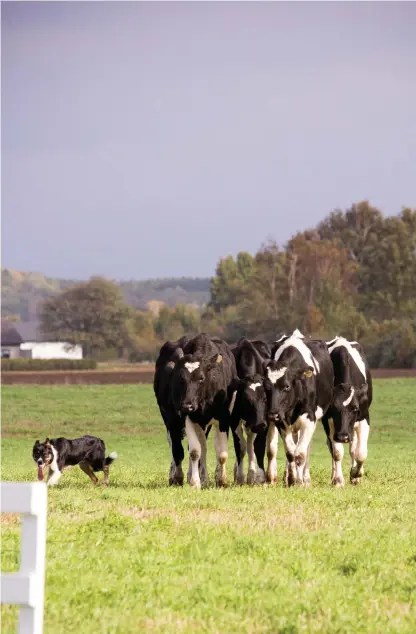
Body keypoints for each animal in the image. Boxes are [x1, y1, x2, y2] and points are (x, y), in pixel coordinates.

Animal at [229, 340, 272, 484]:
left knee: (251, 444)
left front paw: (260, 477)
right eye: (246, 399)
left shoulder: (265, 421)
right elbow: (240, 448)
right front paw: (240, 477)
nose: (259, 424)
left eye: (265, 398)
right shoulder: (234, 420)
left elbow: (258, 447)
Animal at [266, 330, 334, 484]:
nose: (272, 414)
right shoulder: (282, 422)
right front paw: (292, 480)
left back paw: (306, 478)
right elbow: (291, 453)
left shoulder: (309, 419)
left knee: (307, 448)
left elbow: (300, 454)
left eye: (286, 386)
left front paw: (300, 482)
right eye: (267, 387)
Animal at [322, 336, 374, 484]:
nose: (342, 437)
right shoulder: (327, 421)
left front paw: (356, 474)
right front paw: (338, 480)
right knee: (332, 447)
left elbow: (360, 452)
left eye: (355, 408)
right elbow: (337, 452)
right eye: (333, 408)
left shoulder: (364, 417)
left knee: (353, 447)